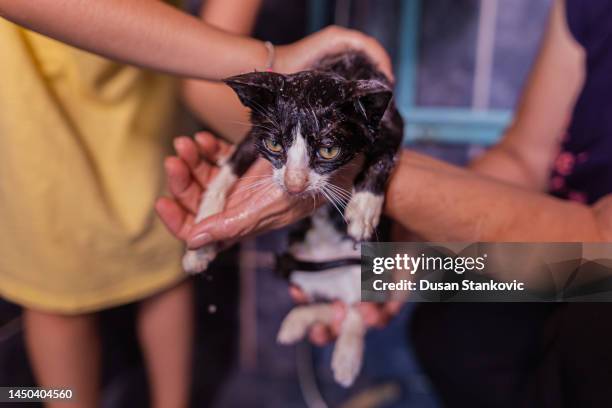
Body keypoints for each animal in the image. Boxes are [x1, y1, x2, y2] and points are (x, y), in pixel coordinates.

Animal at [182, 52, 402, 388]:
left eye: (328, 150)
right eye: (275, 145)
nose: (294, 184)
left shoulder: (391, 122)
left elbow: (385, 152)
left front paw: (364, 206)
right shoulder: (253, 135)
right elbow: (229, 169)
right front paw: (201, 242)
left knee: (356, 310)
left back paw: (346, 356)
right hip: (293, 263)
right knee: (332, 305)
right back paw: (298, 322)